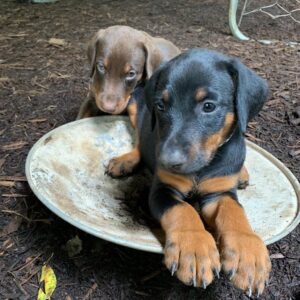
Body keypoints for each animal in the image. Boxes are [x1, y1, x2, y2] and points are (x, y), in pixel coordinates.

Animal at [132, 49, 270, 296]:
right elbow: (183, 209)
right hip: (134, 110)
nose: (167, 161)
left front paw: (248, 253)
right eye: (161, 105)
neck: (203, 166)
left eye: (208, 106)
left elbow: (235, 211)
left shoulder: (220, 192)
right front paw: (195, 249)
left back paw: (243, 174)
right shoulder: (162, 190)